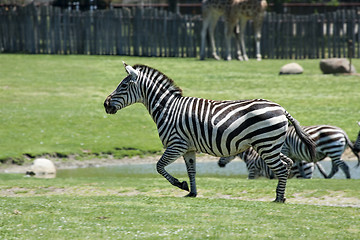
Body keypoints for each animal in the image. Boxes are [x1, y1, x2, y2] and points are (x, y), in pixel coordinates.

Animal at [102, 62, 314, 202]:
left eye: (123, 85)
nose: (105, 105)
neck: (168, 108)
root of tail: (281, 108)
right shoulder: (188, 148)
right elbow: (192, 170)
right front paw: (192, 192)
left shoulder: (176, 144)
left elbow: (159, 166)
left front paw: (181, 185)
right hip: (270, 145)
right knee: (287, 163)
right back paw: (281, 195)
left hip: (266, 144)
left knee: (281, 168)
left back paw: (279, 198)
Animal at [218, 124, 358, 177]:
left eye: (224, 153)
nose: (219, 164)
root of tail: (343, 132)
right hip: (335, 151)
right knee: (335, 167)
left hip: (333, 150)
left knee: (343, 166)